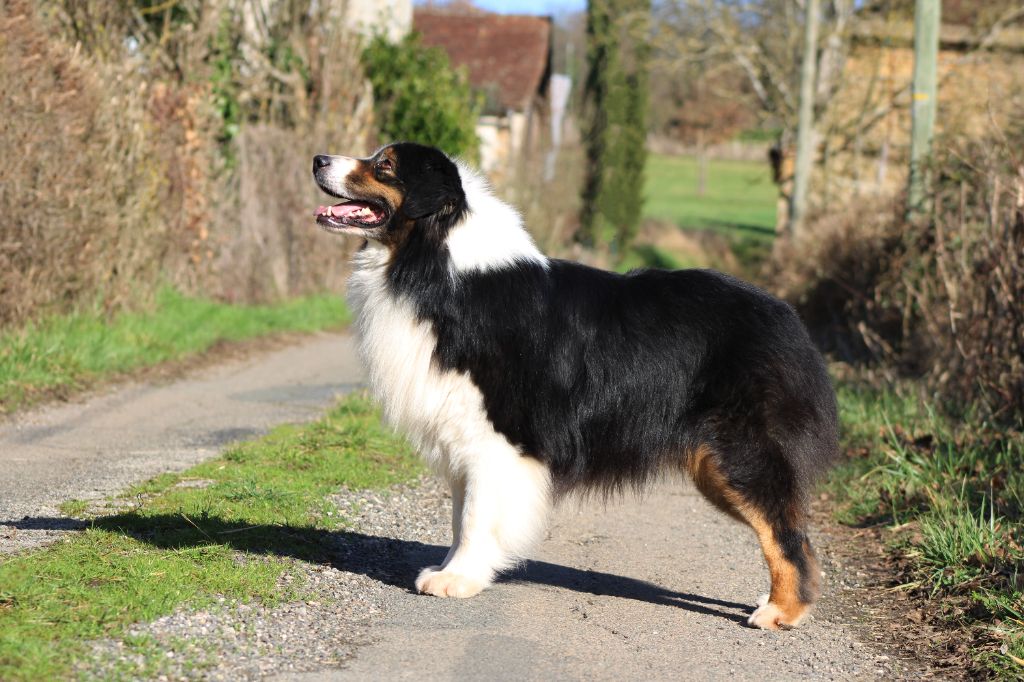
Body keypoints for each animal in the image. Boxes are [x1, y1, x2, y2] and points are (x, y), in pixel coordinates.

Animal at [311, 142, 839, 626]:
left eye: (384, 165)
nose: (317, 159)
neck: (436, 266)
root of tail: (786, 318)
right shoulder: (462, 433)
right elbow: (460, 517)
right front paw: (454, 569)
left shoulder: (496, 439)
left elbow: (477, 516)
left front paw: (458, 579)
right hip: (712, 467)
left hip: (740, 455)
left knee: (786, 533)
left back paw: (781, 611)